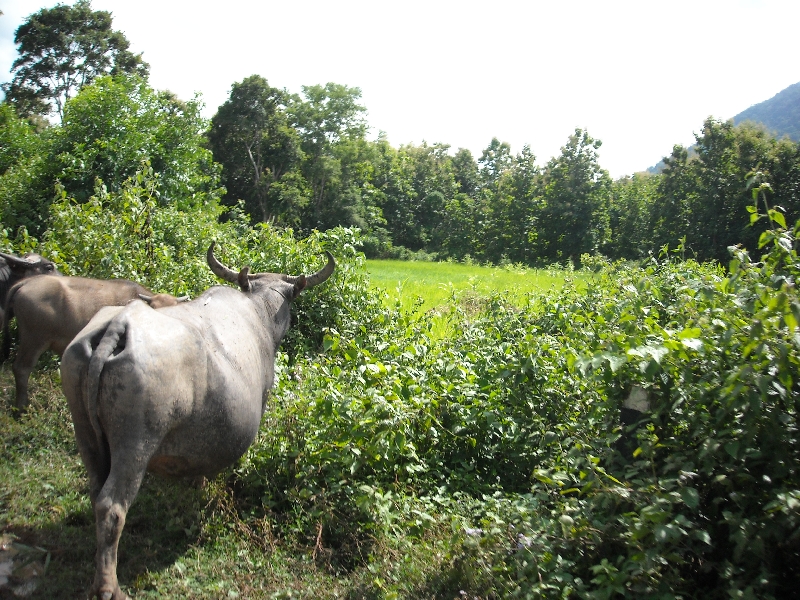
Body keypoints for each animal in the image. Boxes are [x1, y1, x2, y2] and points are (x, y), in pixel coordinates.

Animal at [61, 245, 332, 600]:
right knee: (112, 506)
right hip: (135, 443)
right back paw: (109, 587)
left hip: (85, 431)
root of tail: (118, 326)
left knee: (95, 493)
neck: (259, 311)